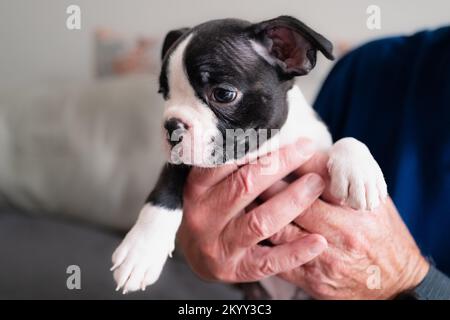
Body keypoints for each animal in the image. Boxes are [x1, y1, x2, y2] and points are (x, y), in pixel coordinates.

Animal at [111, 16, 386, 294]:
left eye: (223, 94)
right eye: (164, 93)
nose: (171, 126)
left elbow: (347, 140)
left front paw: (360, 175)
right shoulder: (180, 161)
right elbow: (164, 188)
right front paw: (141, 250)